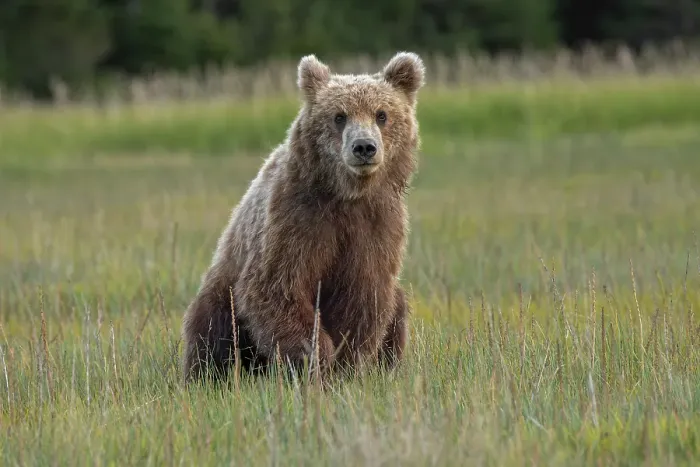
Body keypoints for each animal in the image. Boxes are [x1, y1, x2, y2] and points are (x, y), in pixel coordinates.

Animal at [181, 51, 425, 384]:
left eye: (381, 114)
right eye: (339, 116)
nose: (364, 147)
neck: (346, 196)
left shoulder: (376, 227)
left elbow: (363, 297)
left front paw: (346, 367)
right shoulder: (298, 220)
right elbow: (279, 288)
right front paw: (316, 359)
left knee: (397, 307)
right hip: (222, 288)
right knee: (213, 327)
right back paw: (212, 375)